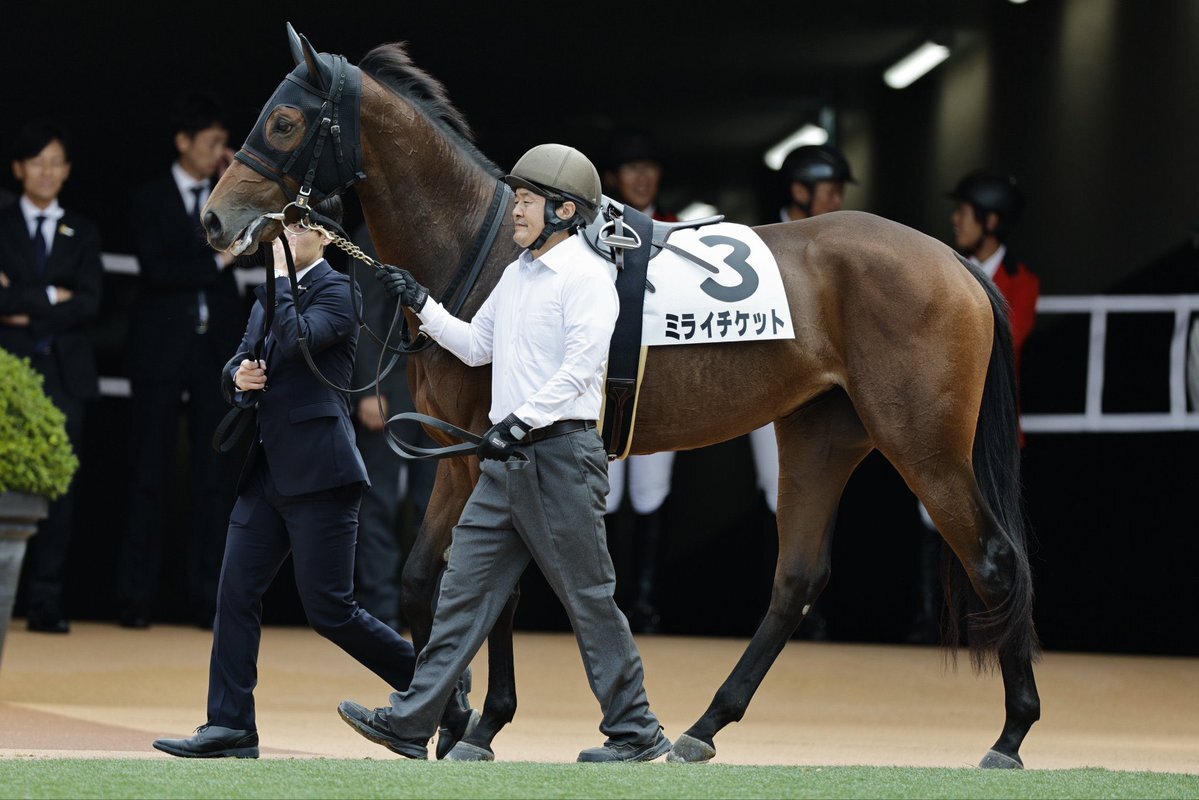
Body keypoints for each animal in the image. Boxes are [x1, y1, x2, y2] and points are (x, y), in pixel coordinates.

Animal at [203, 26, 1041, 768]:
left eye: (283, 120)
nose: (214, 217)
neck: (490, 249)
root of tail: (956, 265)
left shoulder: (488, 450)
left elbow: (491, 587)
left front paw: (476, 722)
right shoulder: (459, 450)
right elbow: (423, 582)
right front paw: (450, 714)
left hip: (922, 444)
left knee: (995, 561)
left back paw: (1009, 736)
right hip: (821, 434)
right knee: (797, 577)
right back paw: (704, 726)